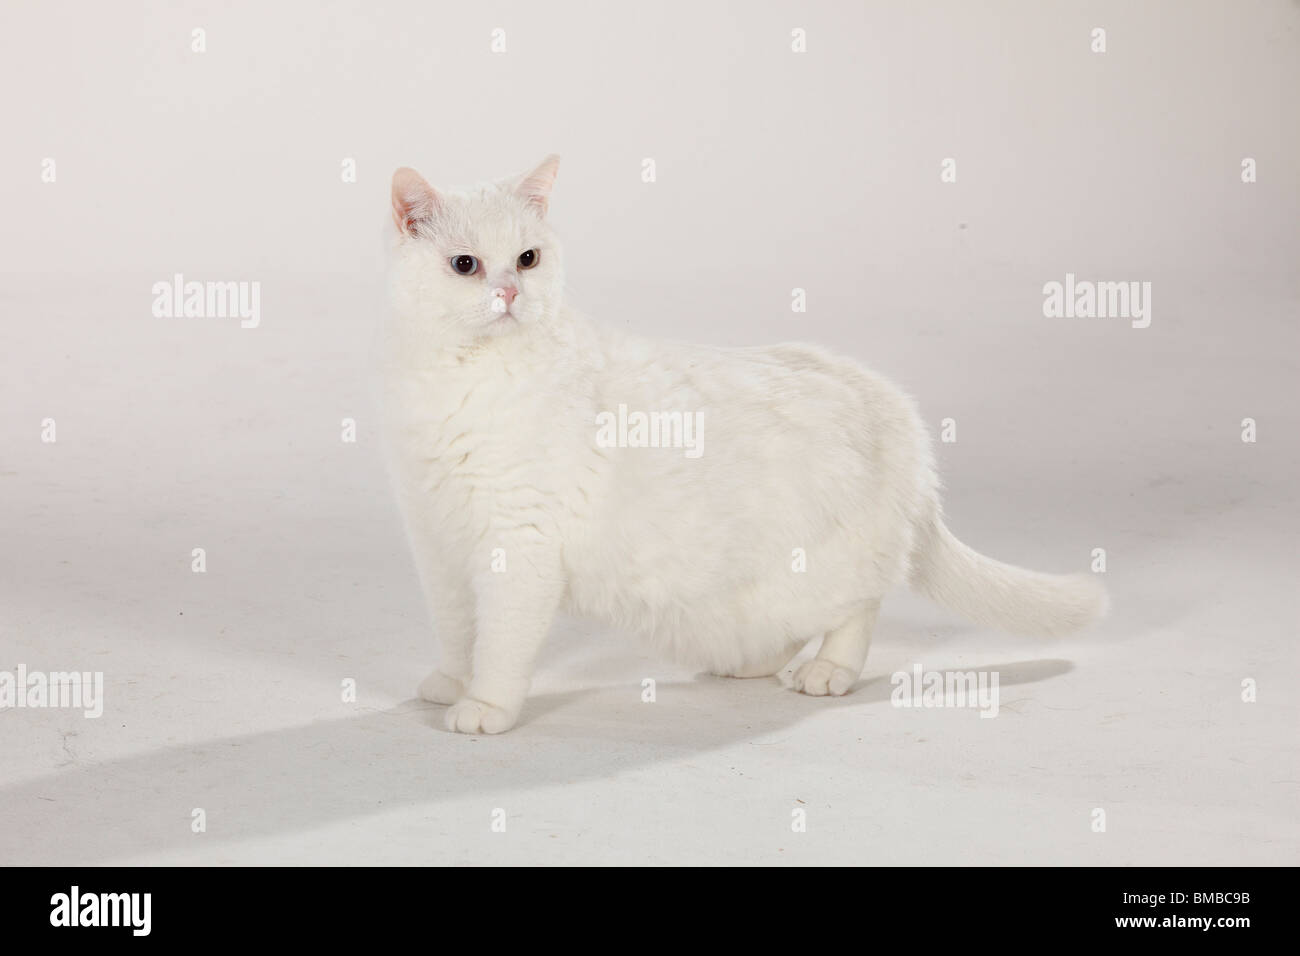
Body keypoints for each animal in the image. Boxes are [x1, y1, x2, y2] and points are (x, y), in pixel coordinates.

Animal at [379, 158, 1107, 738]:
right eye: (466, 265)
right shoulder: (437, 546)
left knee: (859, 607)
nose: (508, 293)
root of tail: (889, 401)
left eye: (528, 259)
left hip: (833, 559)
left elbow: (500, 644)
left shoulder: (520, 546)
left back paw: (829, 670)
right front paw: (452, 681)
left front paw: (485, 706)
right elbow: (457, 630)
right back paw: (752, 663)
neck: (458, 380)